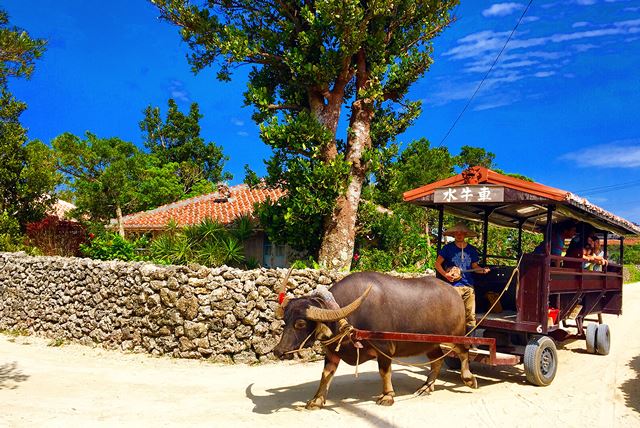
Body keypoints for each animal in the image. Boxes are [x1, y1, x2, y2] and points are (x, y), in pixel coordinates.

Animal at [273, 271, 478, 409]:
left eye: (300, 323)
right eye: (285, 320)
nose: (278, 351)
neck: (347, 319)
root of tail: (455, 293)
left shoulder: (384, 348)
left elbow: (384, 371)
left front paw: (387, 396)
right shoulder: (332, 352)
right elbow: (326, 374)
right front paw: (316, 400)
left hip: (455, 335)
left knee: (463, 351)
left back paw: (469, 379)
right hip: (430, 343)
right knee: (437, 360)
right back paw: (426, 387)